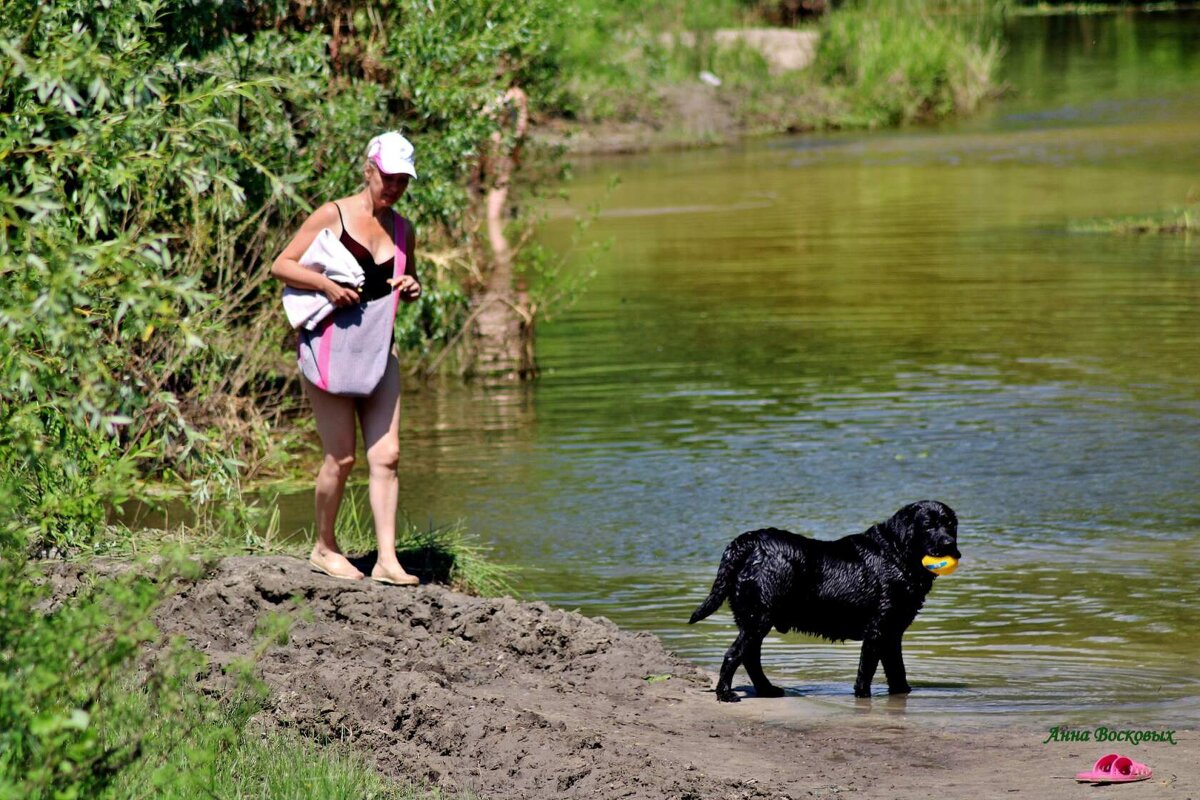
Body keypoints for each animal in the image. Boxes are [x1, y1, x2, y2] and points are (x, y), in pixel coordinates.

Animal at [691, 501, 960, 700]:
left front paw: (902, 693)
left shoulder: (892, 633)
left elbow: (897, 671)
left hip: (753, 618)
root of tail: (750, 541)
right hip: (758, 617)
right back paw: (726, 694)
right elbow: (866, 671)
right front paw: (863, 697)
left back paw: (767, 690)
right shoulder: (878, 630)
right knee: (735, 654)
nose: (949, 543)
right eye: (928, 525)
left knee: (750, 657)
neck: (896, 553)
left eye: (950, 525)